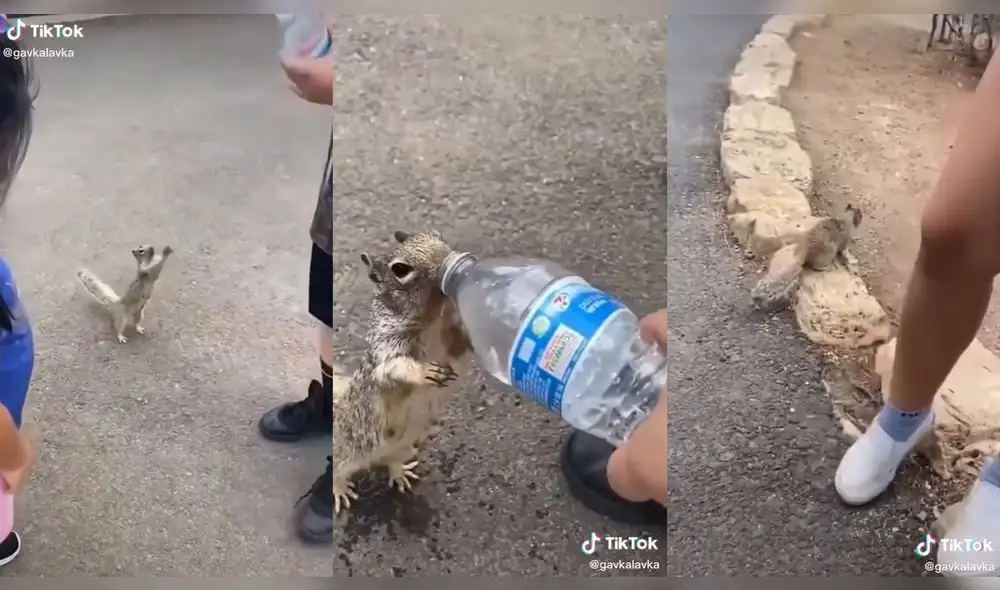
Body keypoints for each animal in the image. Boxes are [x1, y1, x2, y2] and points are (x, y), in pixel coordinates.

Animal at [330, 230, 472, 514]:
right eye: (400, 269)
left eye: (438, 235)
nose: (447, 257)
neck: (434, 318)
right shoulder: (386, 347)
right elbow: (395, 368)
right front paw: (426, 372)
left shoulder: (451, 343)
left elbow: (461, 346)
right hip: (348, 449)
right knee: (337, 471)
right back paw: (339, 489)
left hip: (405, 447)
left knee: (392, 461)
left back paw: (399, 473)